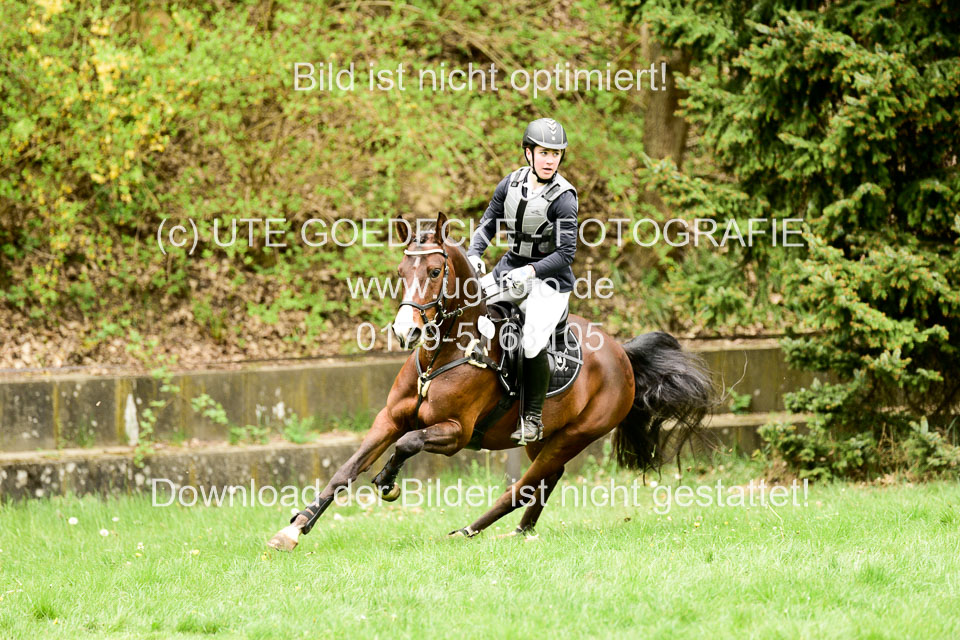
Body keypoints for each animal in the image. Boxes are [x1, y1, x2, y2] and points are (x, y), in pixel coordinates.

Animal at [267, 211, 712, 549]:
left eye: (434, 271)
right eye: (400, 271)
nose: (406, 331)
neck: (442, 354)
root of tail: (622, 353)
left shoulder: (456, 432)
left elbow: (407, 443)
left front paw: (387, 481)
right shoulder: (389, 418)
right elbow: (346, 469)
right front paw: (295, 528)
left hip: (576, 435)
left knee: (524, 487)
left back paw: (470, 530)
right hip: (547, 438)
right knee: (546, 480)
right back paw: (519, 531)